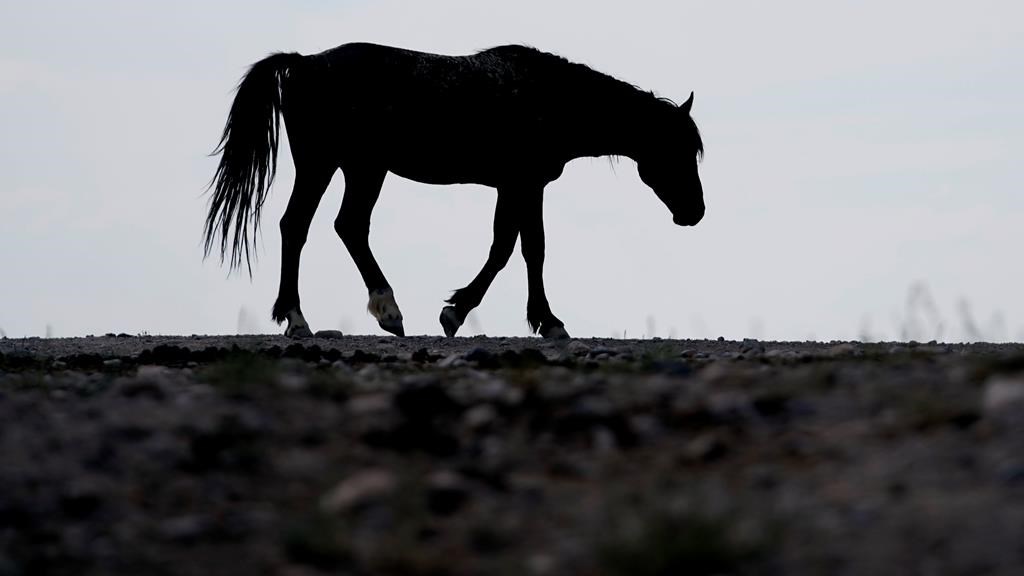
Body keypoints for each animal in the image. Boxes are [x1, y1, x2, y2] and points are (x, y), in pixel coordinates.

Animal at [204, 42, 704, 339]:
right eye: (677, 149)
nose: (695, 212)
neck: (550, 98)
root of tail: (304, 62)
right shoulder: (522, 184)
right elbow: (517, 250)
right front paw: (485, 315)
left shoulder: (520, 187)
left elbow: (520, 248)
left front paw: (519, 316)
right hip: (328, 166)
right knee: (304, 227)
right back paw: (311, 317)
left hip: (359, 169)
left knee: (342, 227)